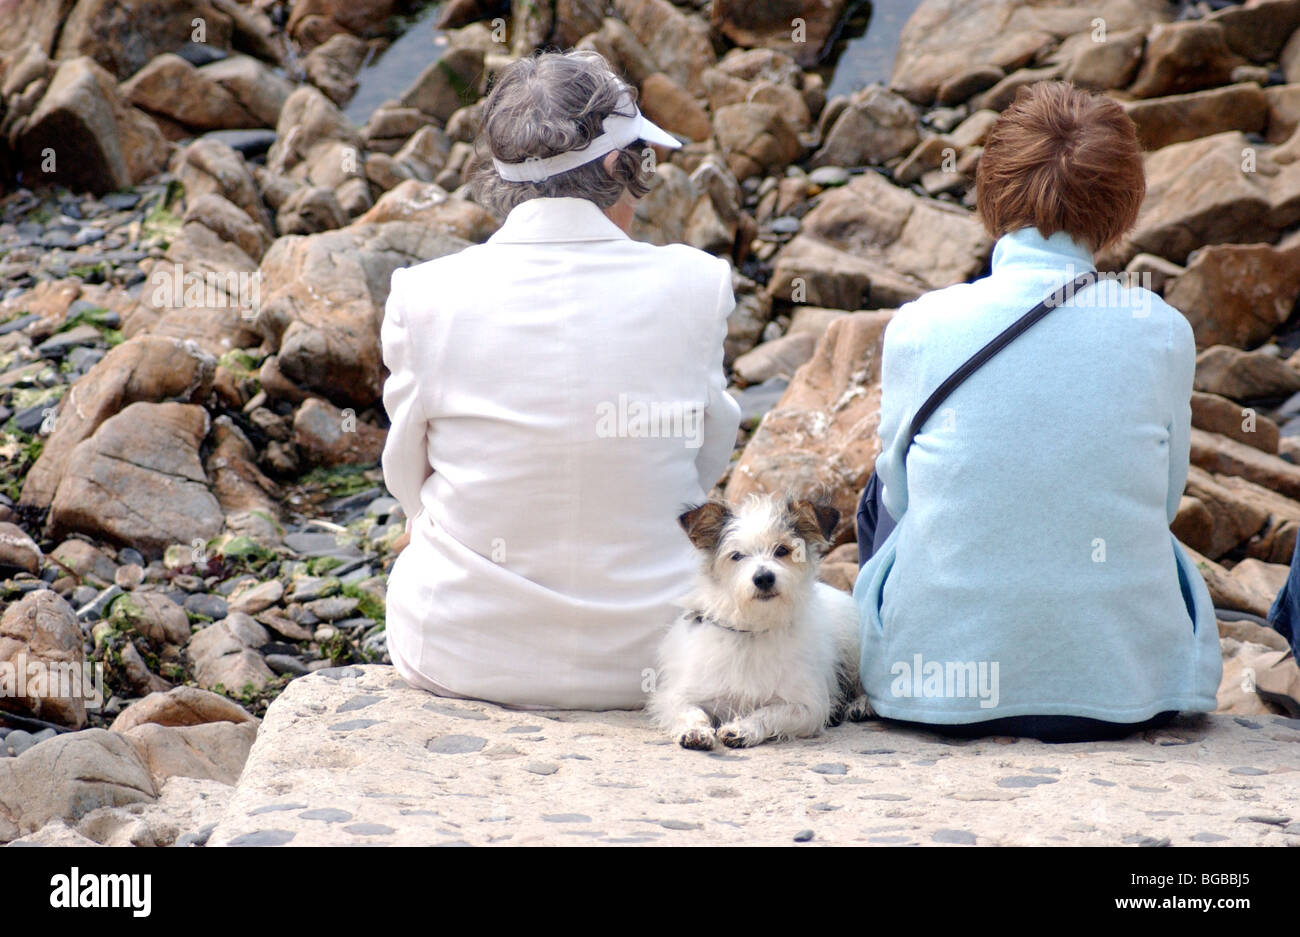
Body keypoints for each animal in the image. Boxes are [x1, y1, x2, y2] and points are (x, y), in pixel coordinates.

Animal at [650, 493, 873, 748]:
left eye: (782, 550)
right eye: (736, 556)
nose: (764, 577)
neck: (753, 629)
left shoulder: (805, 706)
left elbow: (768, 713)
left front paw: (742, 728)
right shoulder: (678, 696)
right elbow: (690, 712)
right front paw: (696, 731)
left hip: (853, 650)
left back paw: (861, 705)